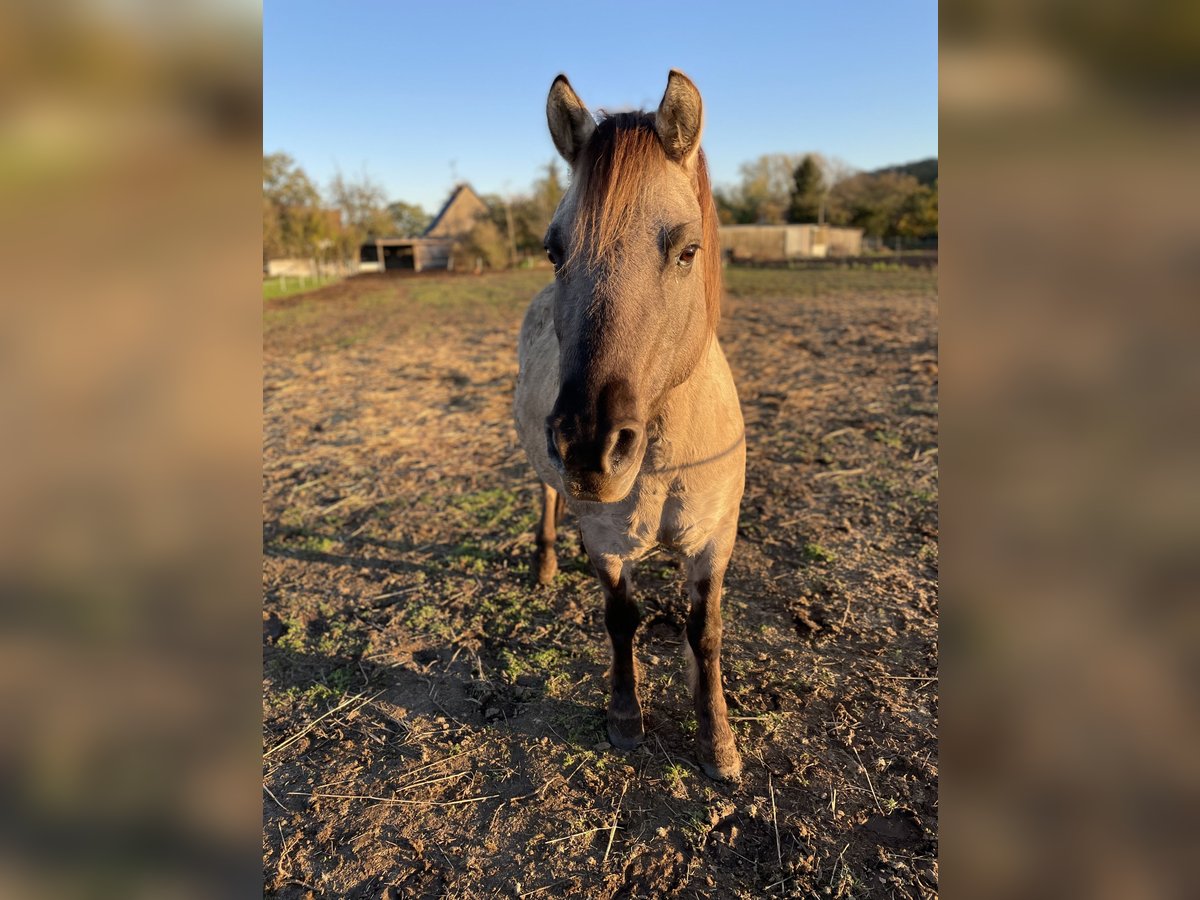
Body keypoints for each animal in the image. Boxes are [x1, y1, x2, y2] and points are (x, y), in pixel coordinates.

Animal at [513, 70, 744, 782]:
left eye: (687, 250)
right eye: (553, 250)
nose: (589, 447)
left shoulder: (715, 541)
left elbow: (706, 630)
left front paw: (717, 740)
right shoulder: (606, 542)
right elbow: (622, 620)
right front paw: (624, 718)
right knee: (548, 495)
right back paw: (544, 564)